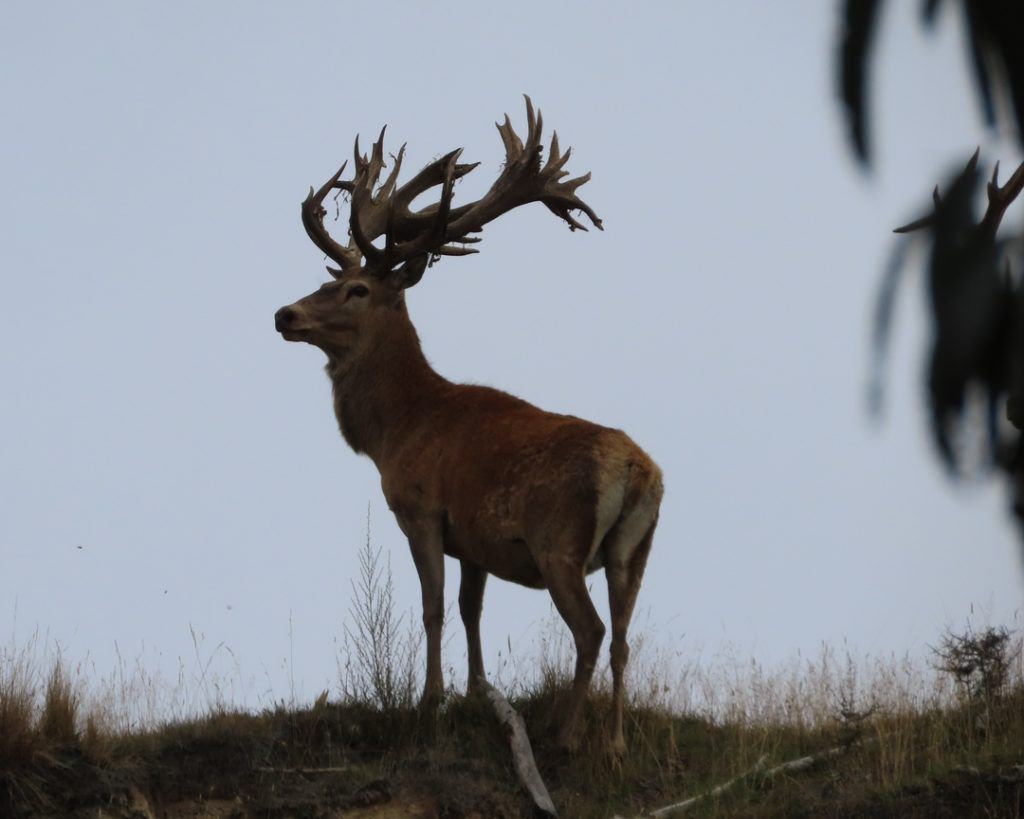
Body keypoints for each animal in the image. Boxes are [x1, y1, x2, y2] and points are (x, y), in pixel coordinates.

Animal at [276, 97, 663, 753]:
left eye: (356, 289)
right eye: (326, 279)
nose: (285, 314)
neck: (396, 429)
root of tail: (638, 471)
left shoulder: (421, 509)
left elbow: (432, 606)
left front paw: (429, 700)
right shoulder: (475, 540)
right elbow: (469, 609)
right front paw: (477, 692)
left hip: (557, 542)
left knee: (589, 632)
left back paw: (565, 735)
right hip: (634, 551)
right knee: (622, 638)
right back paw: (614, 742)